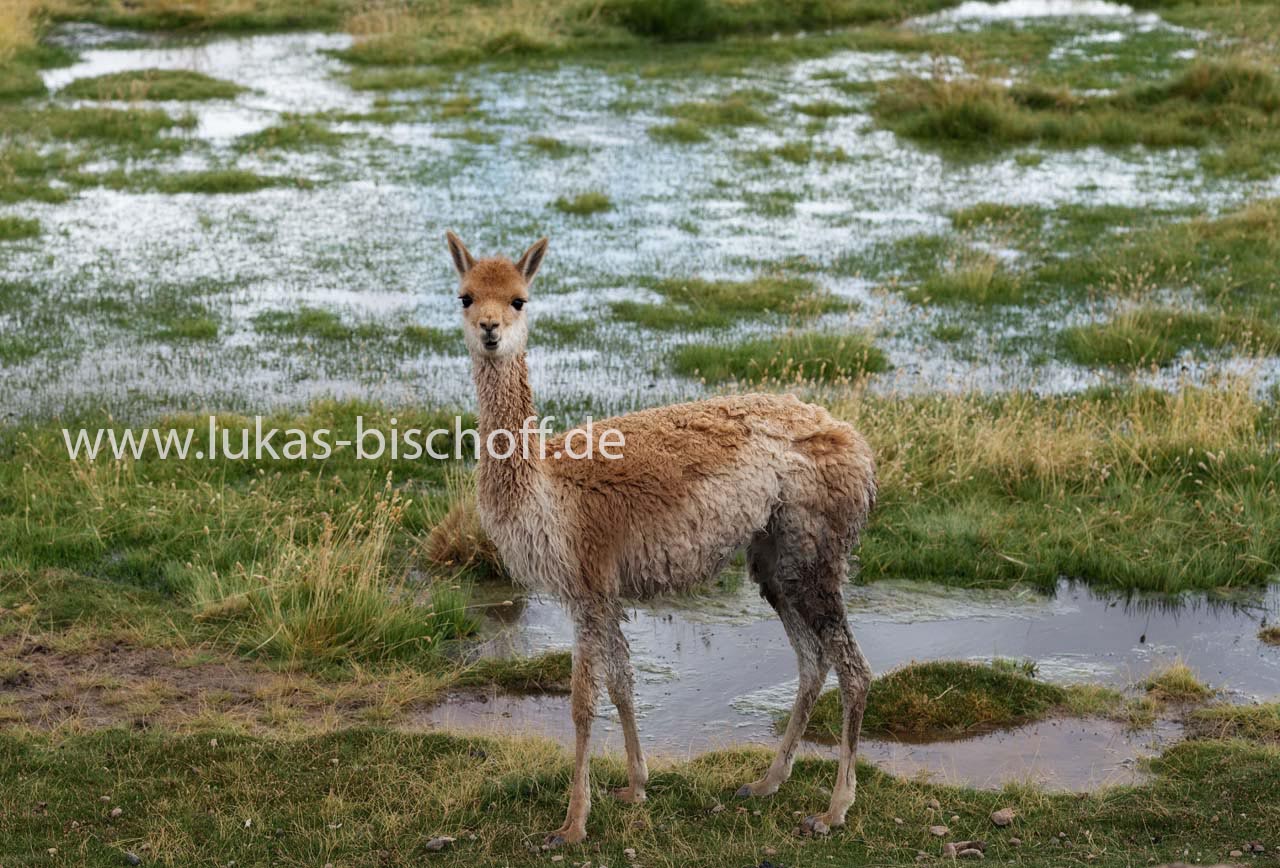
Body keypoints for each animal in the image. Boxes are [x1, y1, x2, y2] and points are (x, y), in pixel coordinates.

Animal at [445, 231, 877, 848]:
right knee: (813, 663)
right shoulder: (602, 591)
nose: (489, 330)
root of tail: (858, 444)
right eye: (466, 297)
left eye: (518, 301)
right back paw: (768, 781)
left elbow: (582, 702)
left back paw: (835, 808)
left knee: (854, 671)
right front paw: (635, 786)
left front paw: (573, 823)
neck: (546, 487)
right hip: (777, 558)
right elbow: (623, 683)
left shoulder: (587, 581)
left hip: (814, 550)